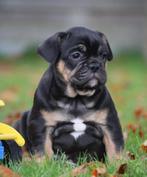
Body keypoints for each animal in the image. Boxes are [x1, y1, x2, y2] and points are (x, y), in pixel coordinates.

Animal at [13, 26, 124, 162]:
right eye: (76, 55)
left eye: (103, 56)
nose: (95, 65)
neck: (76, 99)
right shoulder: (41, 125)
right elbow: (43, 149)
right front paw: (45, 164)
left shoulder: (109, 124)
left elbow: (114, 146)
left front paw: (117, 164)